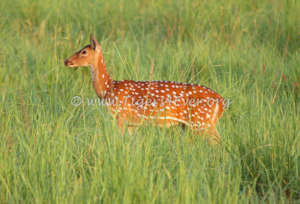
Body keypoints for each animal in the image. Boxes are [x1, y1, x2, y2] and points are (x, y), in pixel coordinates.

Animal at [64, 34, 226, 143]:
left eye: (84, 51)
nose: (66, 61)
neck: (108, 89)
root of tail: (221, 102)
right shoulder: (132, 123)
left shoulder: (120, 116)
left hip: (202, 122)